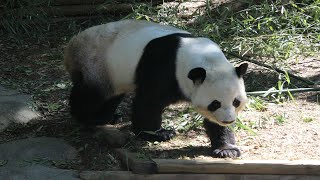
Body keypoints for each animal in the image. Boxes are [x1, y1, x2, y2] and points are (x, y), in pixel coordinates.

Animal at [64, 19, 248, 158]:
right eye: (215, 103)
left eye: (236, 102)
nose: (228, 120)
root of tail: (72, 45)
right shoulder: (163, 67)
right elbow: (148, 102)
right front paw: (158, 133)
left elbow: (212, 122)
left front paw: (226, 149)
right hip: (96, 65)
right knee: (91, 95)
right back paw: (87, 116)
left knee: (112, 97)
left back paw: (108, 116)